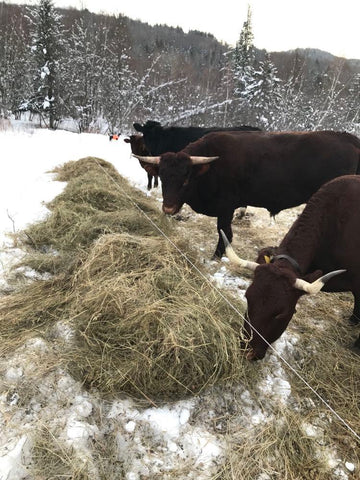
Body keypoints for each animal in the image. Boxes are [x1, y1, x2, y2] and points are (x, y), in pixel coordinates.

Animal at [133, 130, 360, 258]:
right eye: (163, 177)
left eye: (186, 179)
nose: (168, 208)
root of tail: (349, 138)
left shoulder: (226, 207)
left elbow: (224, 232)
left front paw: (218, 256)